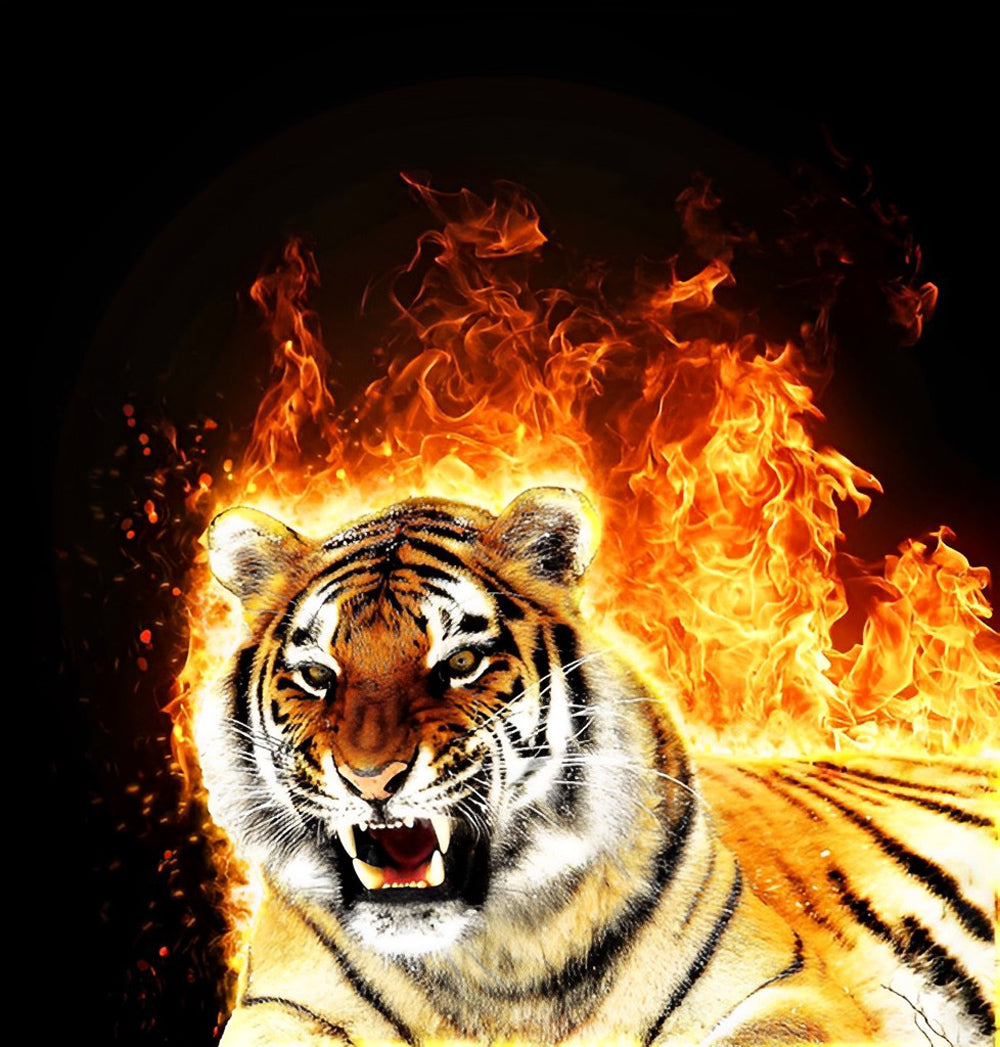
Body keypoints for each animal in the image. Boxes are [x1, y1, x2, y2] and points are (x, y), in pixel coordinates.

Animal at [198, 487, 996, 1046]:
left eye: (460, 663)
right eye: (317, 675)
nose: (369, 779)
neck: (493, 962)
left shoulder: (785, 988)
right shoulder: (281, 1005)